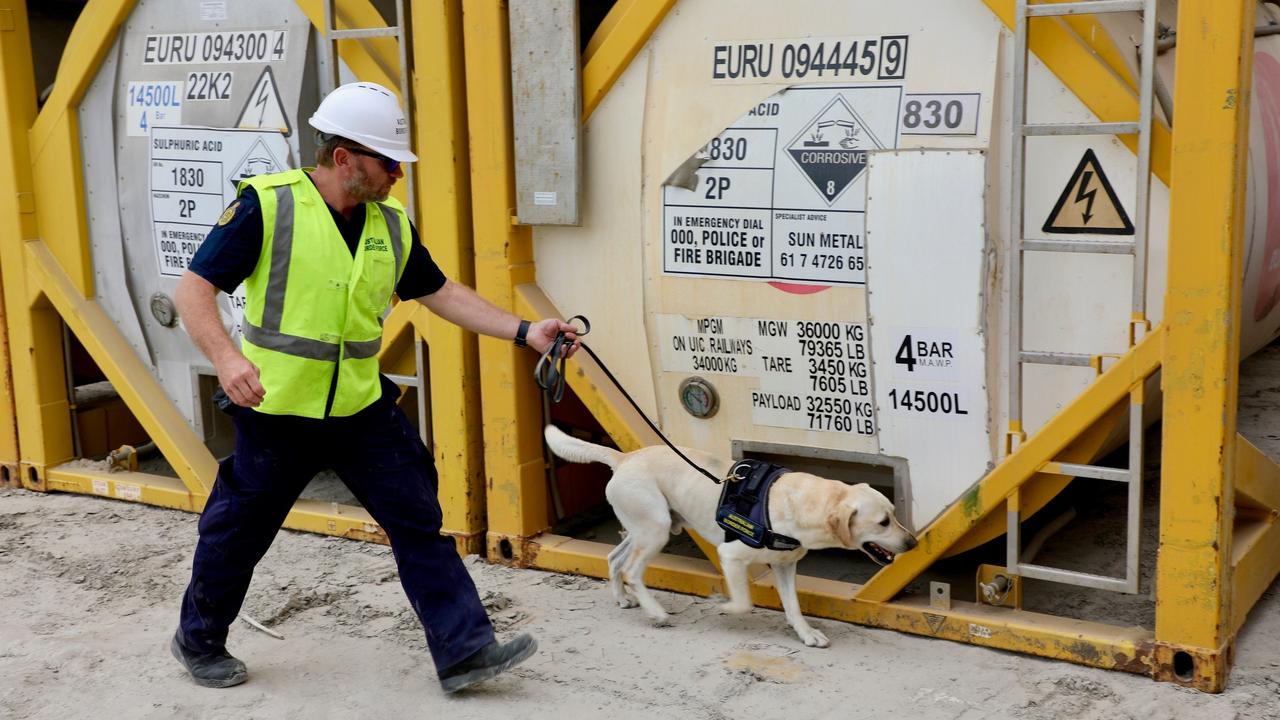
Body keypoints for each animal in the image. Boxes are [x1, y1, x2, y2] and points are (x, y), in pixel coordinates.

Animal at [545, 425, 916, 645]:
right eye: (883, 522)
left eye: (894, 514)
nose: (912, 542)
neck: (799, 503)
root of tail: (624, 457)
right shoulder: (731, 556)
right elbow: (743, 603)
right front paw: (720, 605)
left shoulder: (785, 566)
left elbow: (793, 606)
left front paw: (807, 634)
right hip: (655, 531)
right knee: (633, 570)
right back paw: (656, 613)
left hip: (646, 529)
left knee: (614, 559)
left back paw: (622, 598)